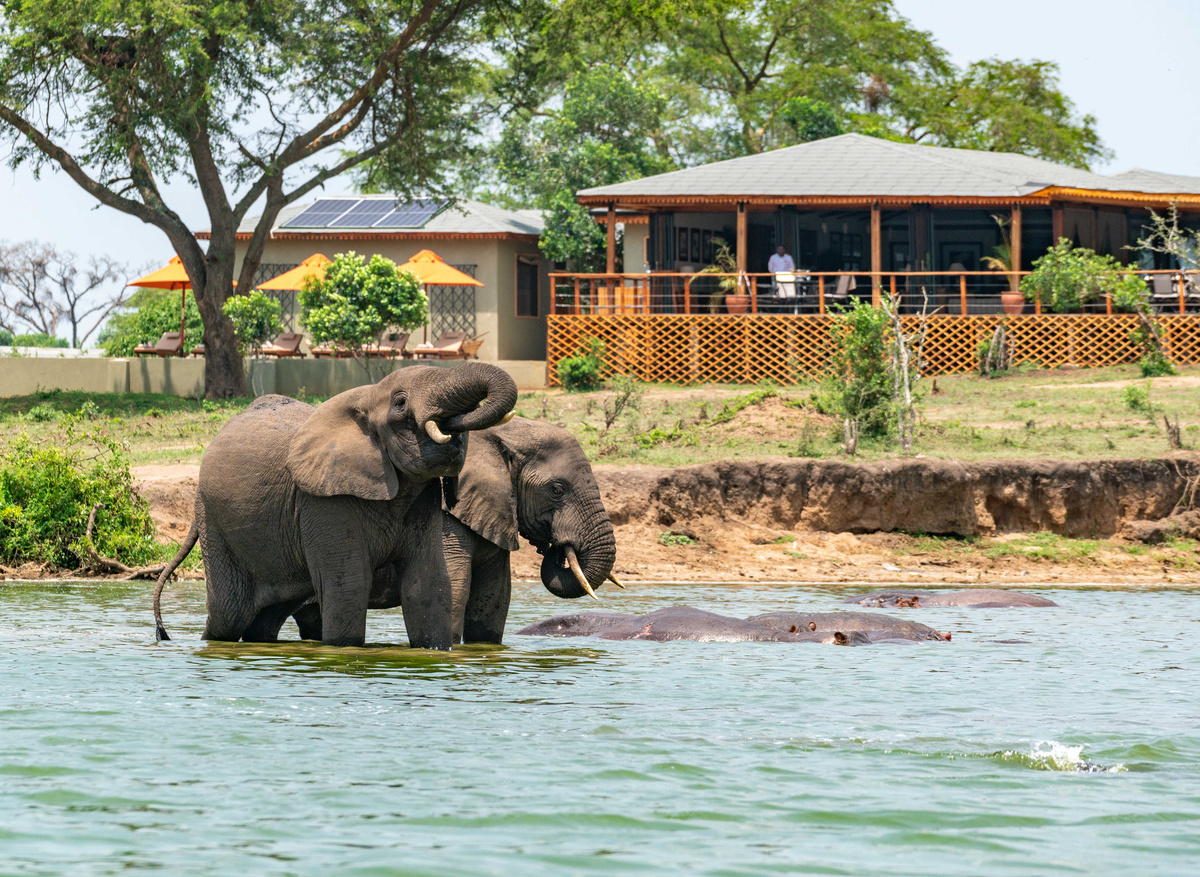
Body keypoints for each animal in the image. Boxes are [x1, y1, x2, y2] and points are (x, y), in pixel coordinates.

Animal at [153, 363, 518, 649]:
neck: (365, 398)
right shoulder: (323, 500)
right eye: (400, 403)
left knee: (264, 617)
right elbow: (349, 586)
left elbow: (427, 585)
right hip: (214, 520)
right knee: (229, 615)